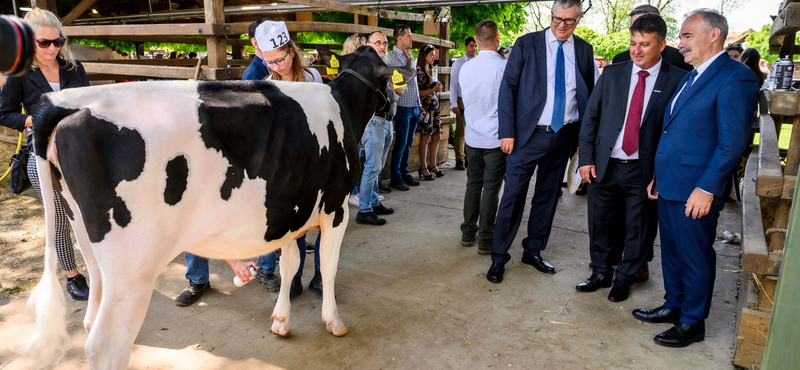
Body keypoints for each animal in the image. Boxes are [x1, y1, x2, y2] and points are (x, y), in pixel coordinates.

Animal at [23, 47, 412, 370]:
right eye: (386, 77)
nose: (396, 106)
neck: (343, 106)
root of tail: (71, 104)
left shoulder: (290, 212)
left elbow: (290, 266)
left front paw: (281, 321)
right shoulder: (335, 208)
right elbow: (328, 268)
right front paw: (333, 322)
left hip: (89, 243)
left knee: (90, 320)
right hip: (132, 269)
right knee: (104, 345)